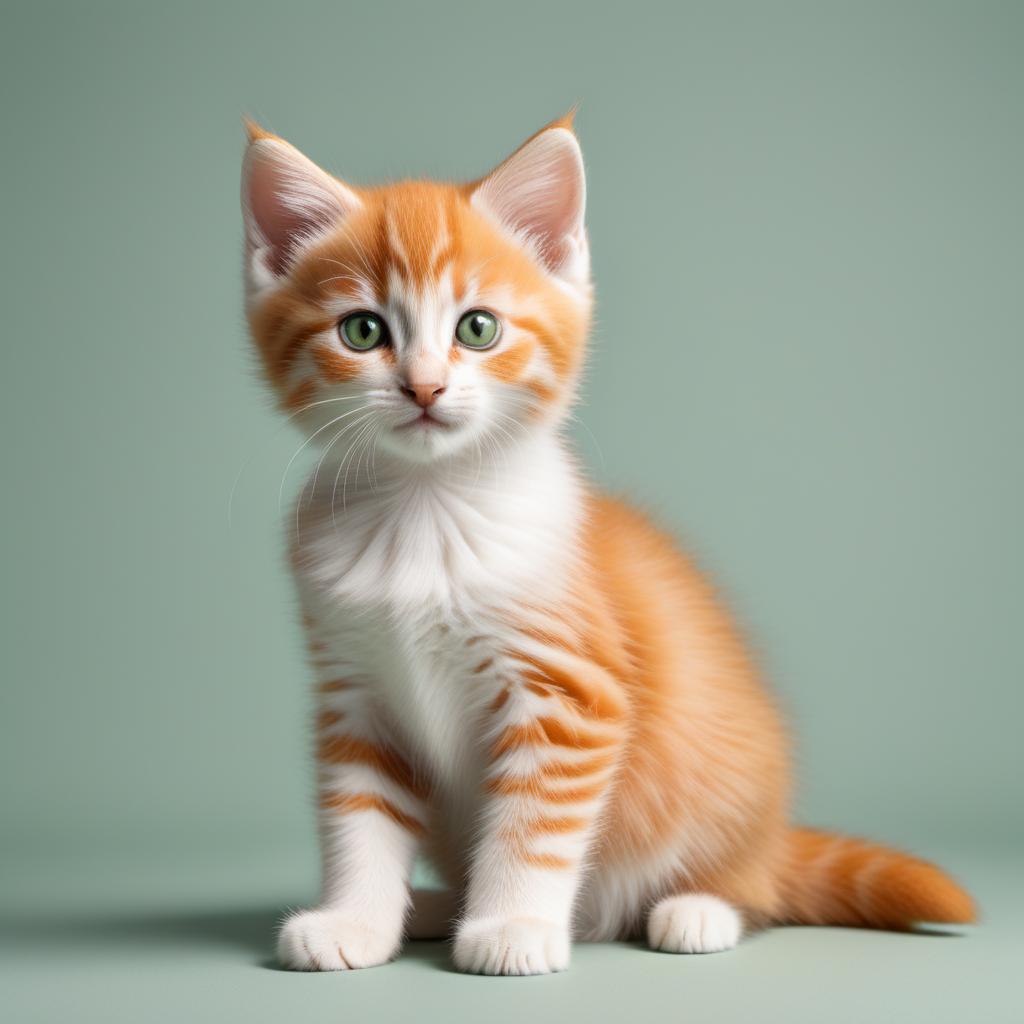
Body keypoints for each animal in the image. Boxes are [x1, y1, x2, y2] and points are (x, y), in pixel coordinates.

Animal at [239, 116, 974, 970]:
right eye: (362, 331)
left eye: (477, 328)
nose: (423, 387)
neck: (427, 507)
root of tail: (772, 840)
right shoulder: (357, 699)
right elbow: (359, 821)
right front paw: (355, 920)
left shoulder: (571, 693)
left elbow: (534, 826)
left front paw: (512, 927)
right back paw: (436, 906)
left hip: (732, 800)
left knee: (753, 890)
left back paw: (696, 909)